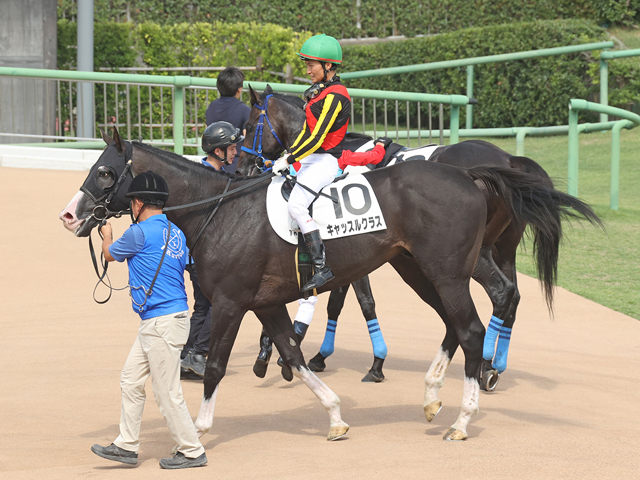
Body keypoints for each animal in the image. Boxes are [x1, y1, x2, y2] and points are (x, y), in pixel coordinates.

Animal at [59, 126, 599, 442]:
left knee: (471, 328)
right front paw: (336, 416)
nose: (70, 215)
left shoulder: (232, 301)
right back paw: (432, 395)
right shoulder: (266, 303)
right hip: (420, 269)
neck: (222, 210)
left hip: (446, 271)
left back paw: (462, 419)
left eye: (104, 172)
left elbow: (215, 365)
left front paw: (198, 426)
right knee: (457, 322)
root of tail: (470, 174)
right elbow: (292, 353)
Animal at [237, 85, 583, 390]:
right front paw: (320, 354)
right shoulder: (344, 249)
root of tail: (507, 160)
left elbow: (360, 302)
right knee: (512, 295)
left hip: (473, 254)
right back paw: (495, 364)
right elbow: (336, 301)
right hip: (502, 249)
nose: (241, 168)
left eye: (249, 126)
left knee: (501, 292)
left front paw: (273, 351)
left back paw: (485, 362)